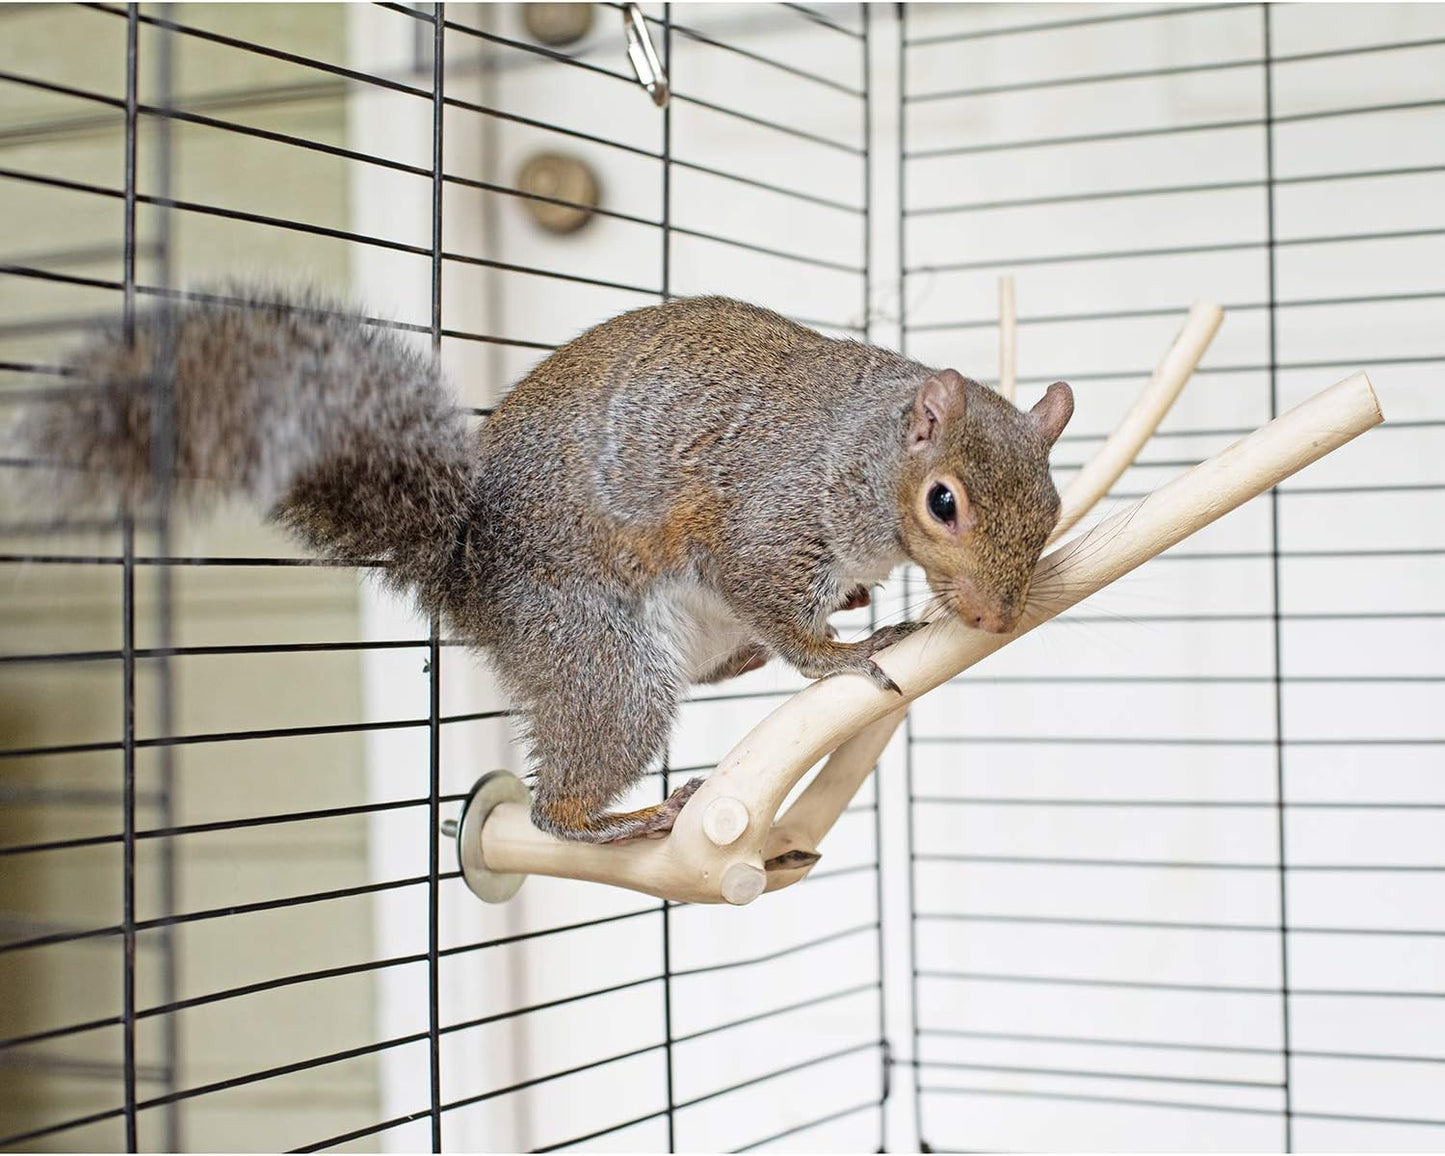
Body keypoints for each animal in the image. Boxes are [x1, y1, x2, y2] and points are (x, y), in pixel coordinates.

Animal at [13, 288, 1073, 843]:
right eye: (944, 503)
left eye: (1055, 507)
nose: (993, 616)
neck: (861, 453)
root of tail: (462, 567)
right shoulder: (766, 517)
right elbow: (773, 601)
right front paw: (845, 655)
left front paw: (865, 604)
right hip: (598, 655)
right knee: (556, 802)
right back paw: (613, 822)